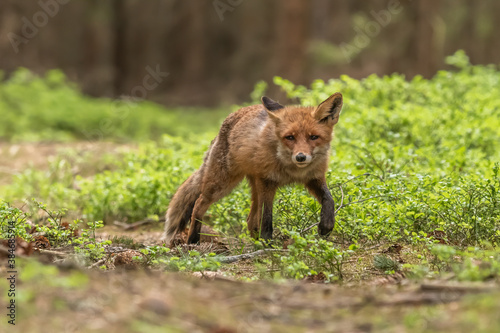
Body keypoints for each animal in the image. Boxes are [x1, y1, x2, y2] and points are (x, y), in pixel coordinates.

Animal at [164, 92, 344, 243]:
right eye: (290, 137)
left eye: (313, 137)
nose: (300, 157)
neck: (293, 170)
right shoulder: (267, 182)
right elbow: (267, 218)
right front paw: (269, 245)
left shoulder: (314, 177)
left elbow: (329, 200)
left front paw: (326, 226)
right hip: (222, 184)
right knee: (198, 205)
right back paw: (193, 241)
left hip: (252, 185)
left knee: (250, 220)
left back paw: (255, 242)